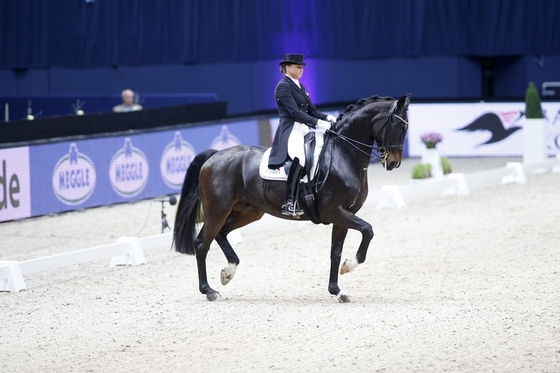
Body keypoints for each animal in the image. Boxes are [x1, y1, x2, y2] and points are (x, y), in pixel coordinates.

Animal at [174, 93, 412, 302]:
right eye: (395, 124)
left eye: (406, 127)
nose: (393, 163)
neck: (343, 154)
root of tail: (215, 156)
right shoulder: (334, 212)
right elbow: (367, 230)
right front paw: (349, 265)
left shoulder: (343, 215)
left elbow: (335, 252)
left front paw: (337, 291)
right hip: (218, 210)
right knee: (202, 243)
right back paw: (209, 291)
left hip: (248, 212)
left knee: (221, 234)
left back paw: (228, 272)